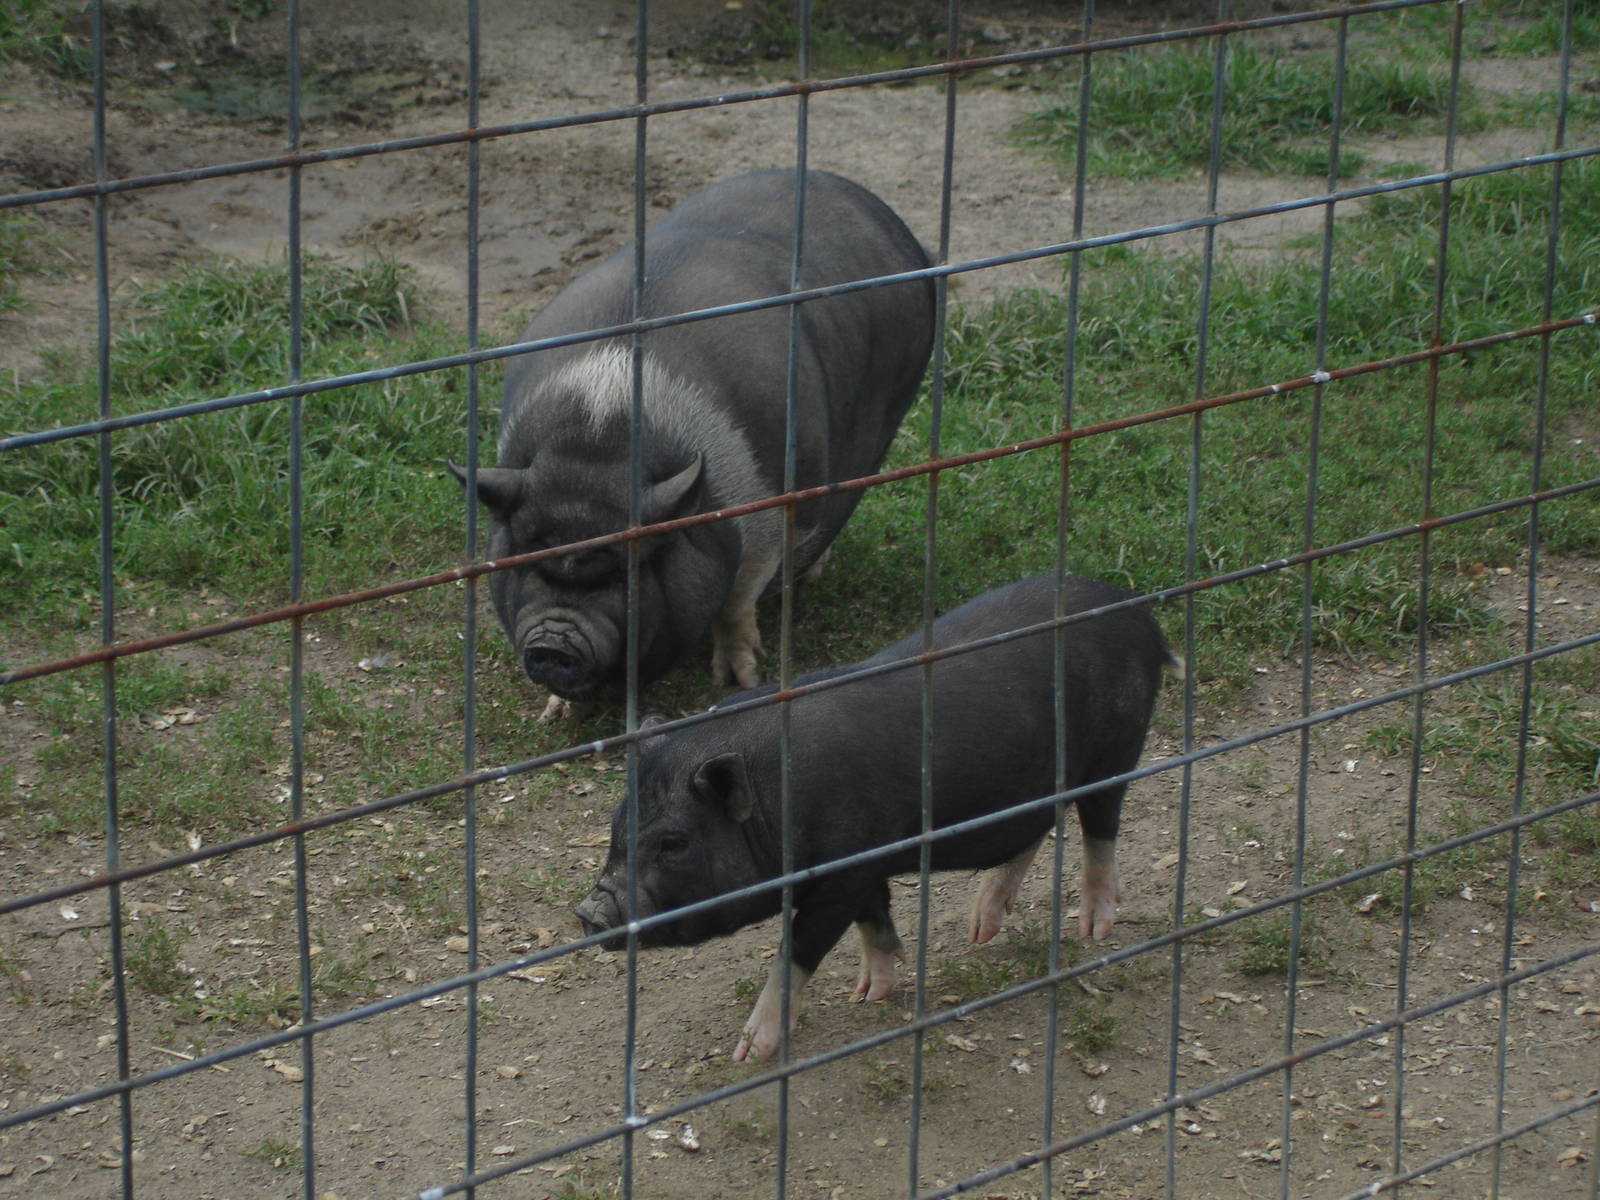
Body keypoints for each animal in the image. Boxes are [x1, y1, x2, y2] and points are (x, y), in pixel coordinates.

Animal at [452, 169, 934, 703]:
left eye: (626, 570)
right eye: (527, 558)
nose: (554, 641)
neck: (599, 429)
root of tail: (868, 202)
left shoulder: (769, 510)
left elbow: (737, 601)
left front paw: (740, 680)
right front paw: (553, 708)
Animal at [573, 573, 1179, 1062]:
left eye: (673, 843)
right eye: (616, 828)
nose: (590, 911)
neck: (772, 797)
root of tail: (1141, 616)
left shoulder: (841, 872)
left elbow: (798, 948)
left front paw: (748, 1053)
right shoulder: (864, 865)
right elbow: (875, 920)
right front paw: (869, 993)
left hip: (1117, 745)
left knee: (1100, 826)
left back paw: (1094, 928)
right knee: (1035, 829)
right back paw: (980, 930)